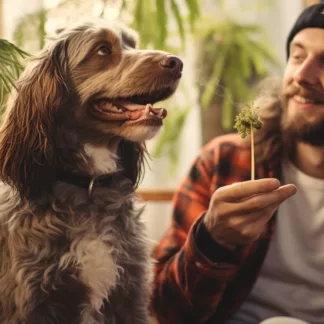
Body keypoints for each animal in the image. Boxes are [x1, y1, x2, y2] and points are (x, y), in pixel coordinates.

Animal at [0, 20, 182, 324]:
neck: (90, 186)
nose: (177, 62)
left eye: (132, 44)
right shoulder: (33, 305)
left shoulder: (130, 297)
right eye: (103, 50)